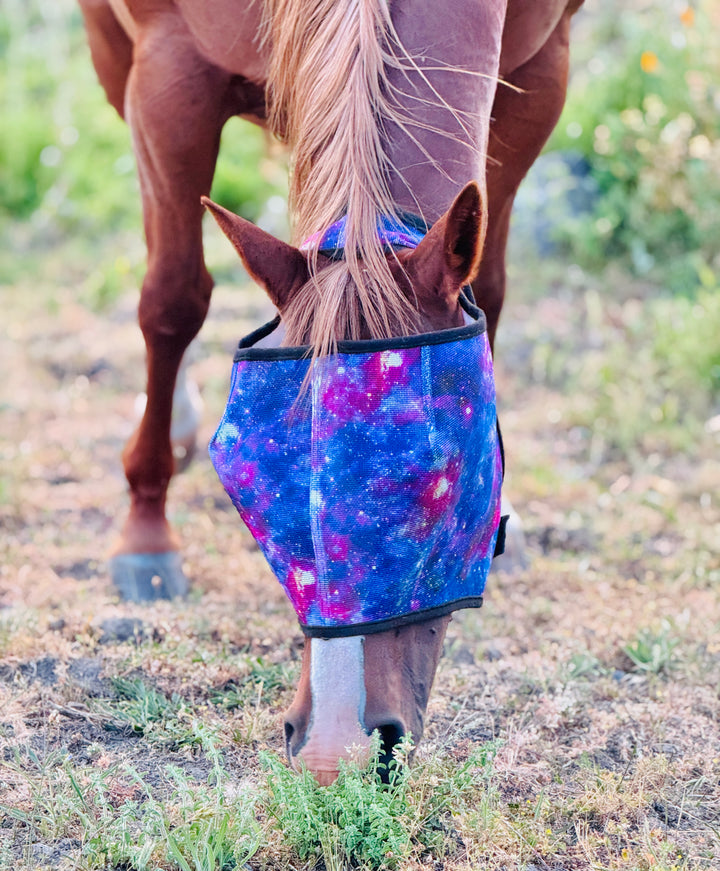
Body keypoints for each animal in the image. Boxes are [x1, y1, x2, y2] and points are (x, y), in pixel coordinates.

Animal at [79, 0, 584, 783]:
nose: (330, 756)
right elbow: (172, 299)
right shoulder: (167, 75)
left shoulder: (540, 71)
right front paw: (146, 530)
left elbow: (491, 290)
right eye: (241, 480)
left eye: (442, 481)